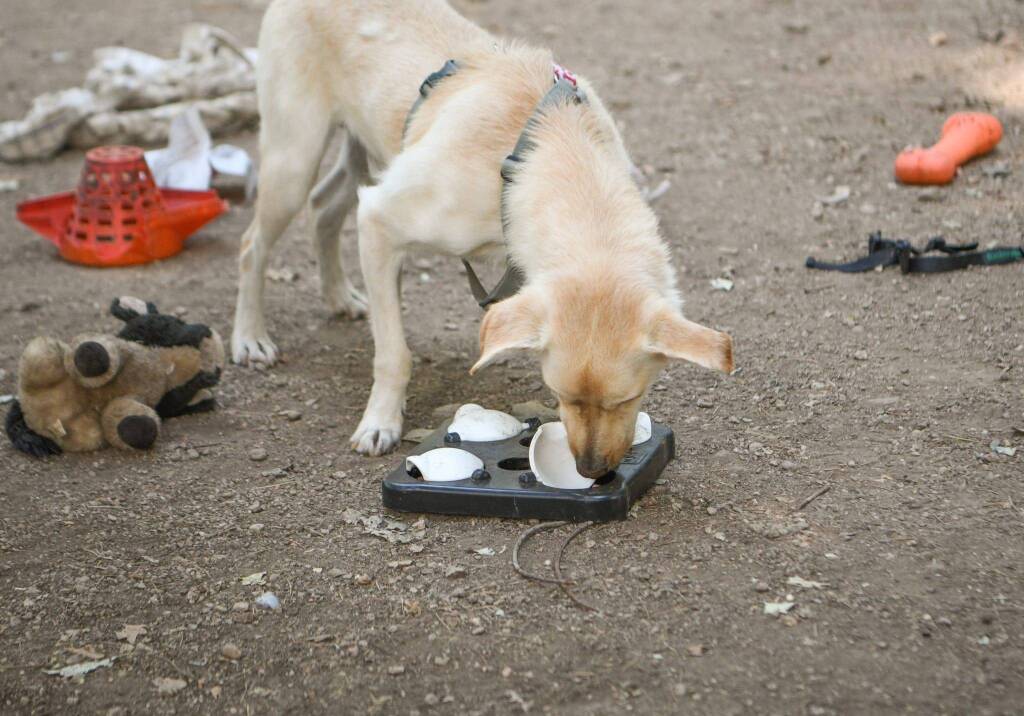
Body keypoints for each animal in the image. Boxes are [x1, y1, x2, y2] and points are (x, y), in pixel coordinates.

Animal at [234, 0, 729, 475]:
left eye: (627, 399)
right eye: (559, 394)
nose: (592, 471)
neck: (542, 153)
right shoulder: (378, 220)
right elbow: (394, 353)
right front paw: (380, 423)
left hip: (361, 155)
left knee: (324, 207)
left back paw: (339, 295)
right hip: (294, 160)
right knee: (252, 245)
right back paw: (250, 338)